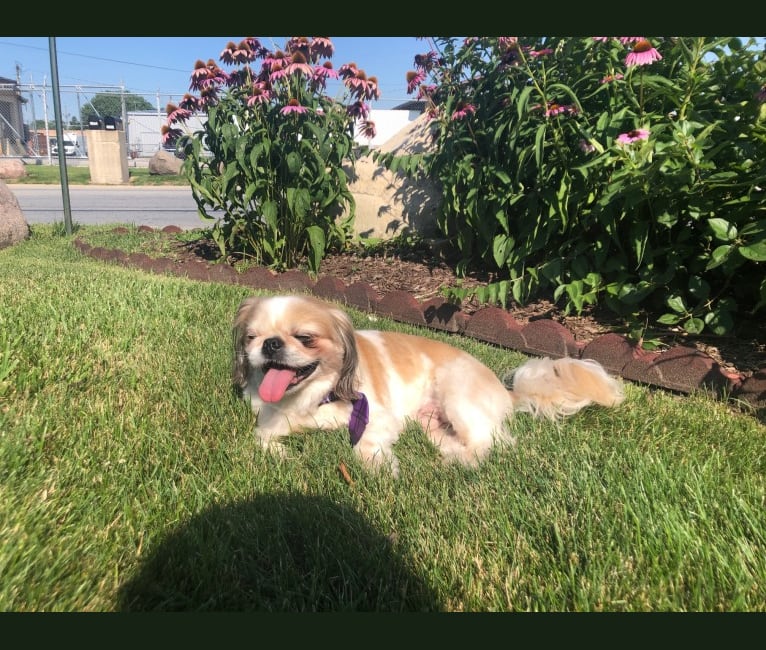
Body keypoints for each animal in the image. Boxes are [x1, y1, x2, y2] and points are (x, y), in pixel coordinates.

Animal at [232, 294, 624, 470]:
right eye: (252, 338)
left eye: (305, 338)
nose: (271, 344)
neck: (317, 396)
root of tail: (506, 390)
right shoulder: (270, 418)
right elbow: (262, 437)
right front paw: (282, 454)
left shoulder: (376, 416)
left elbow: (363, 446)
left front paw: (379, 468)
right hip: (430, 422)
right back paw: (449, 455)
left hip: (458, 397)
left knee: (488, 443)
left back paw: (453, 463)